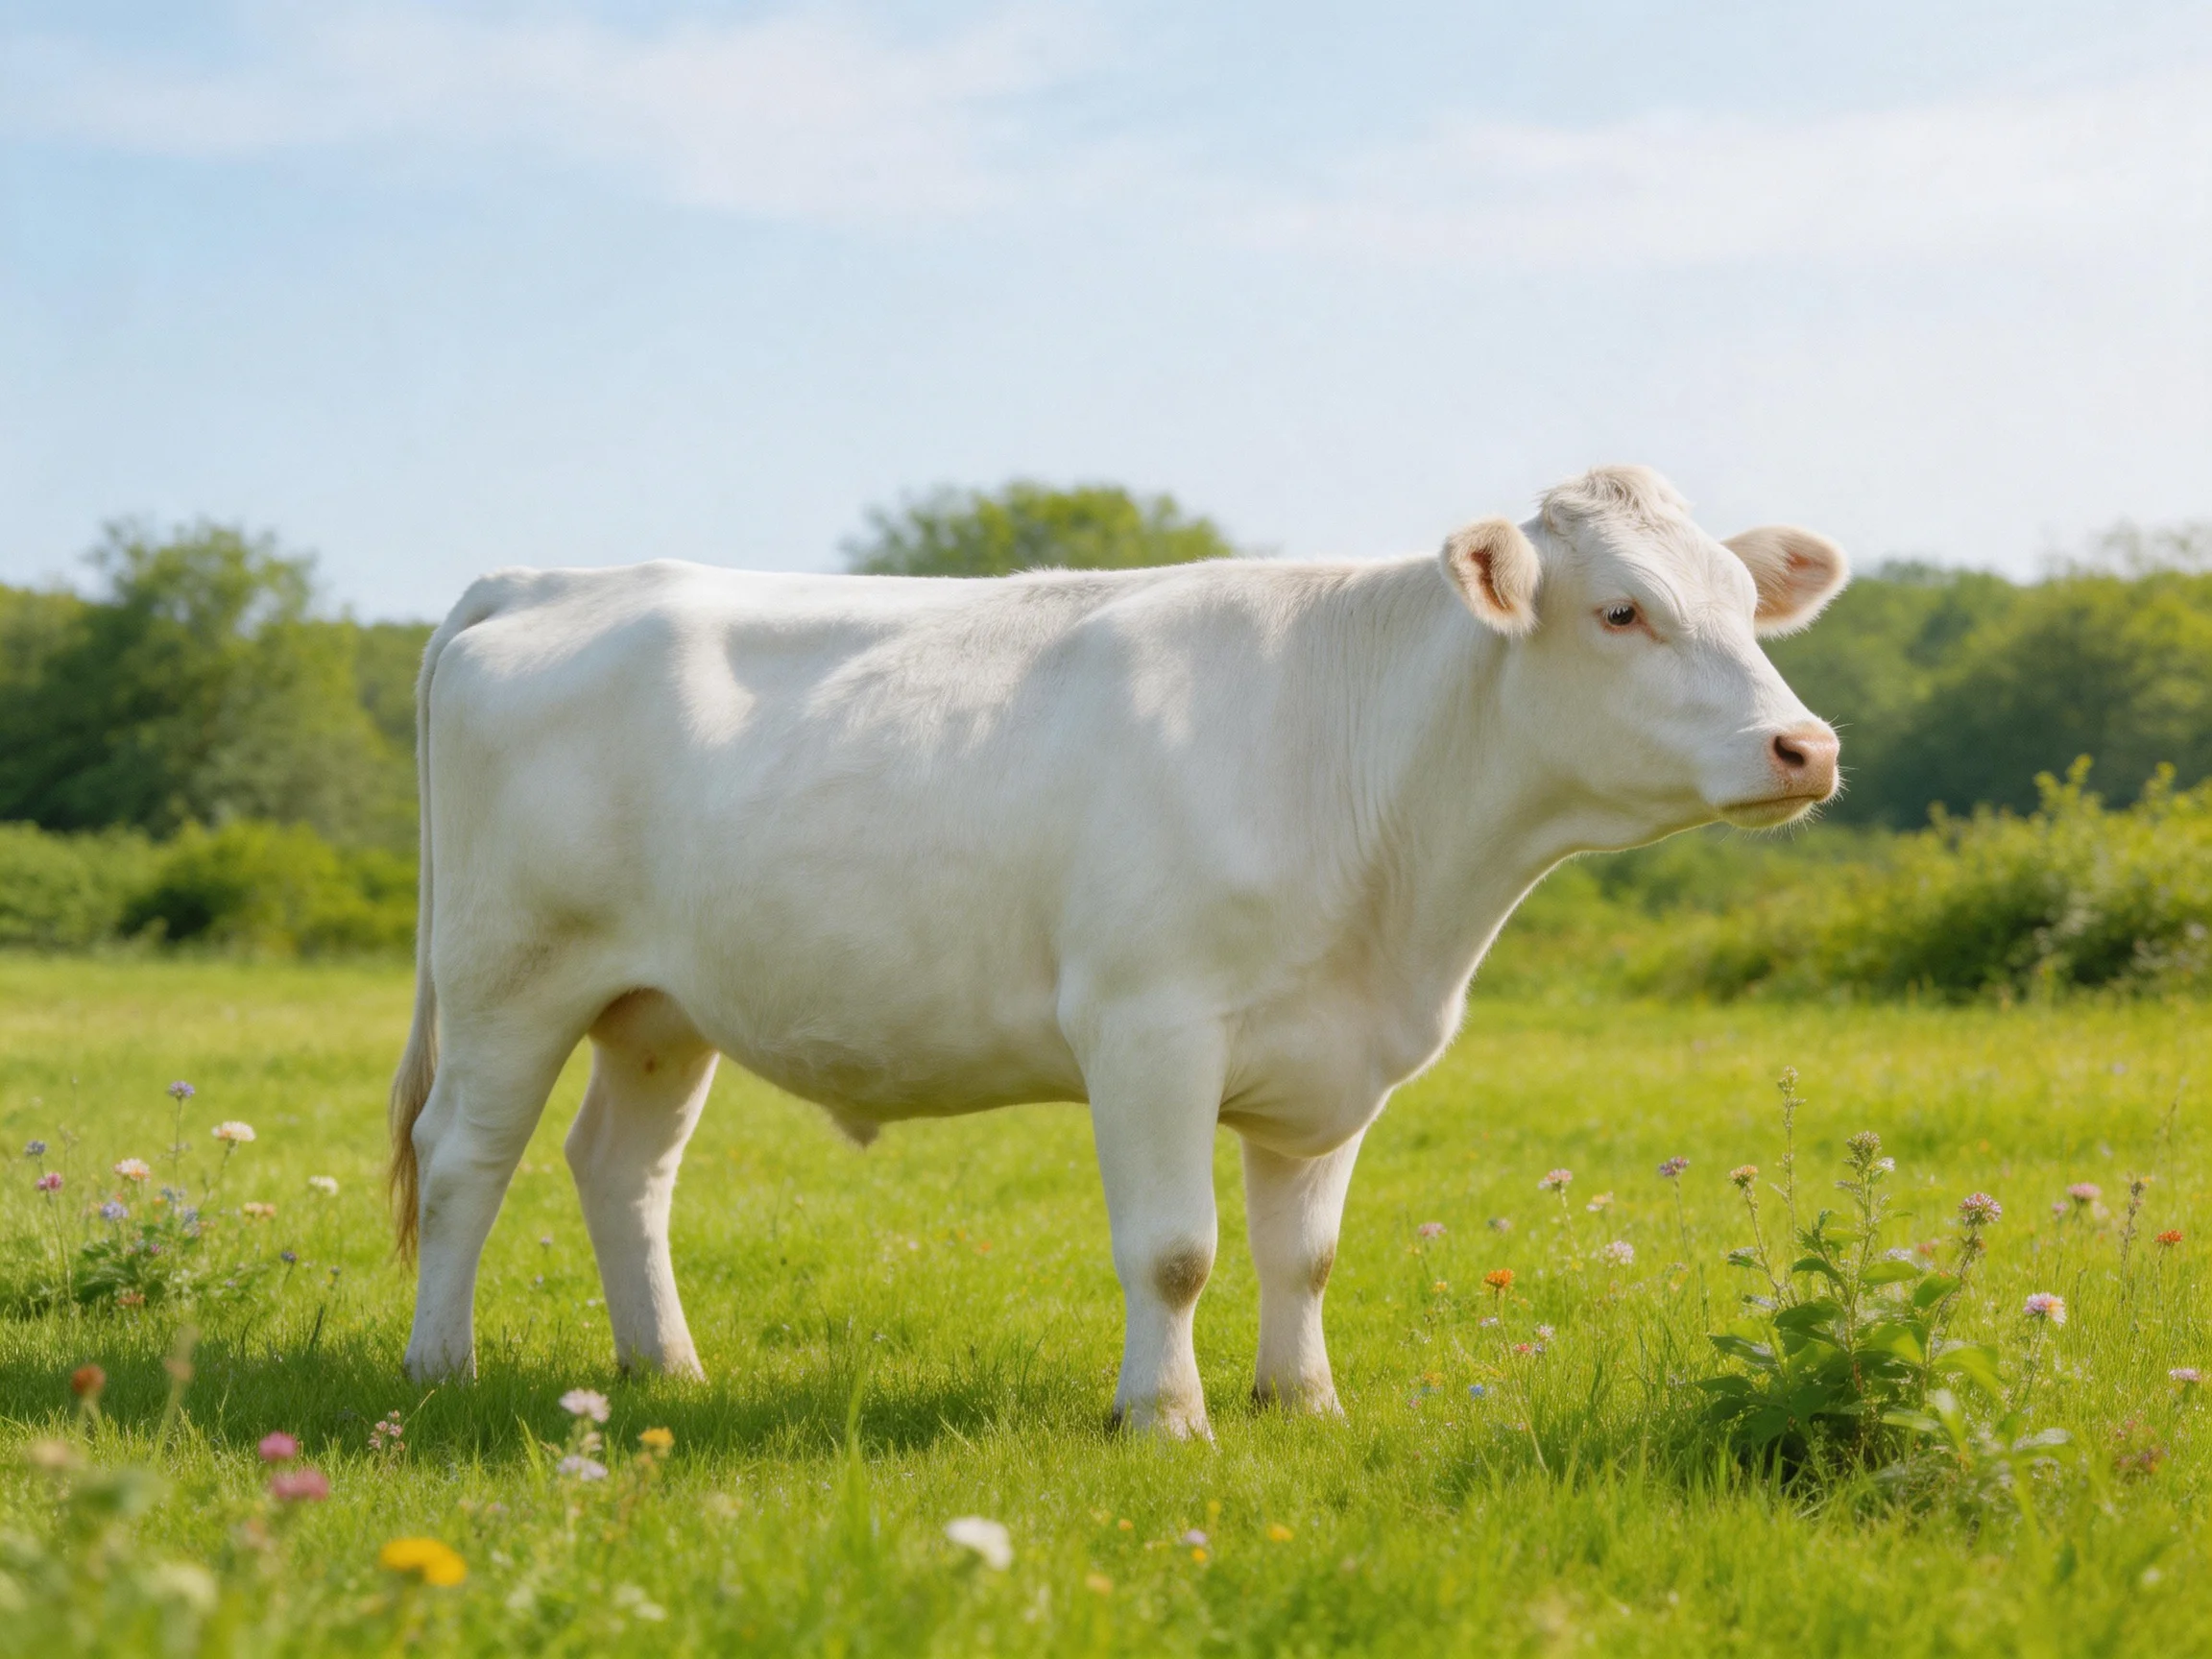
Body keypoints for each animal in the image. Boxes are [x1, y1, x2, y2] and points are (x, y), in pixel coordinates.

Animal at [389, 463, 1845, 1436]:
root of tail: (545, 580)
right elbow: (1176, 1249)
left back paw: (669, 1369)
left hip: (659, 1003)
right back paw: (439, 1368)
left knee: (622, 1170)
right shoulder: (1150, 1028)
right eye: (1621, 612)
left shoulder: (1332, 1057)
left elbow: (1303, 1253)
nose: (1807, 745)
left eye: (1744, 606)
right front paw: (1165, 1417)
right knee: (462, 1159)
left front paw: (1302, 1402)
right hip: (509, 972)